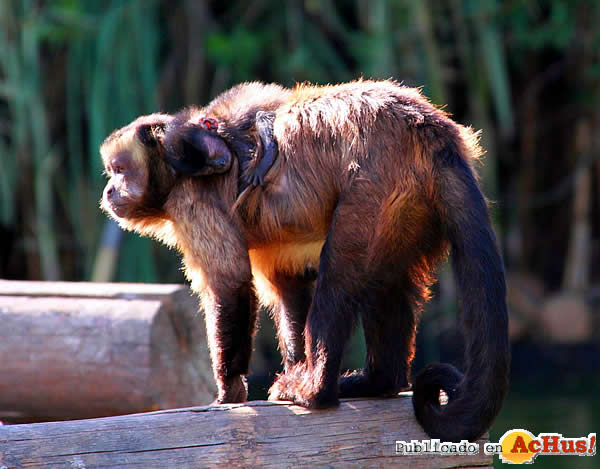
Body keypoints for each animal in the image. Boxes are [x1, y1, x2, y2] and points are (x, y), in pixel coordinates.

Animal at [101, 79, 508, 442]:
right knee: (386, 281)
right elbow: (290, 286)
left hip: (374, 186)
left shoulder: (192, 199)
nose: (108, 190)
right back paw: (378, 382)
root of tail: (431, 130)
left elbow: (231, 284)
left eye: (120, 170)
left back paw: (317, 391)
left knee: (339, 278)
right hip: (412, 203)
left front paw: (228, 392)